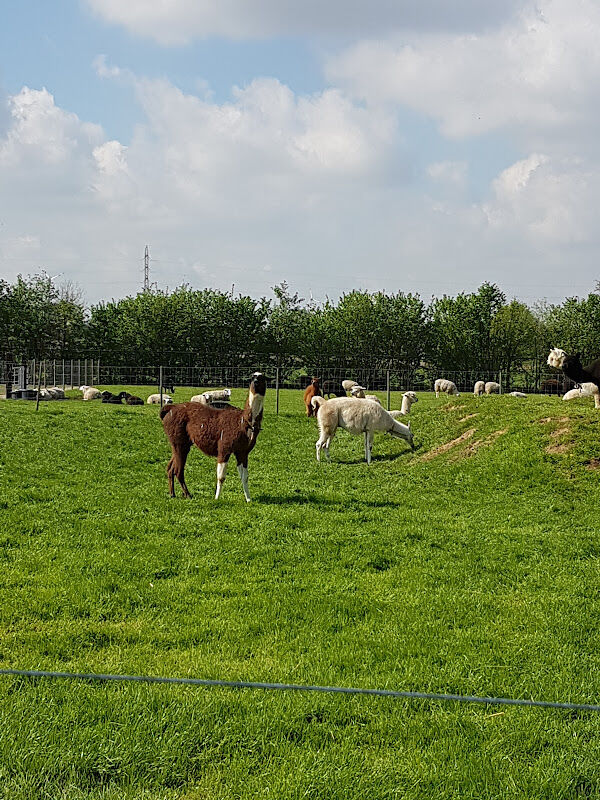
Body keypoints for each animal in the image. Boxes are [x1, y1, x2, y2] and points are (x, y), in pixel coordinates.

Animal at [161, 370, 266, 500]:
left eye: (262, 378)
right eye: (252, 377)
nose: (255, 382)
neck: (243, 421)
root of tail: (170, 408)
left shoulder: (242, 451)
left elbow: (245, 477)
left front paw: (248, 499)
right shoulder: (224, 448)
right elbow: (221, 477)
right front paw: (216, 498)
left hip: (180, 443)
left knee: (170, 468)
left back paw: (173, 494)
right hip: (179, 441)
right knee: (178, 471)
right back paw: (187, 494)